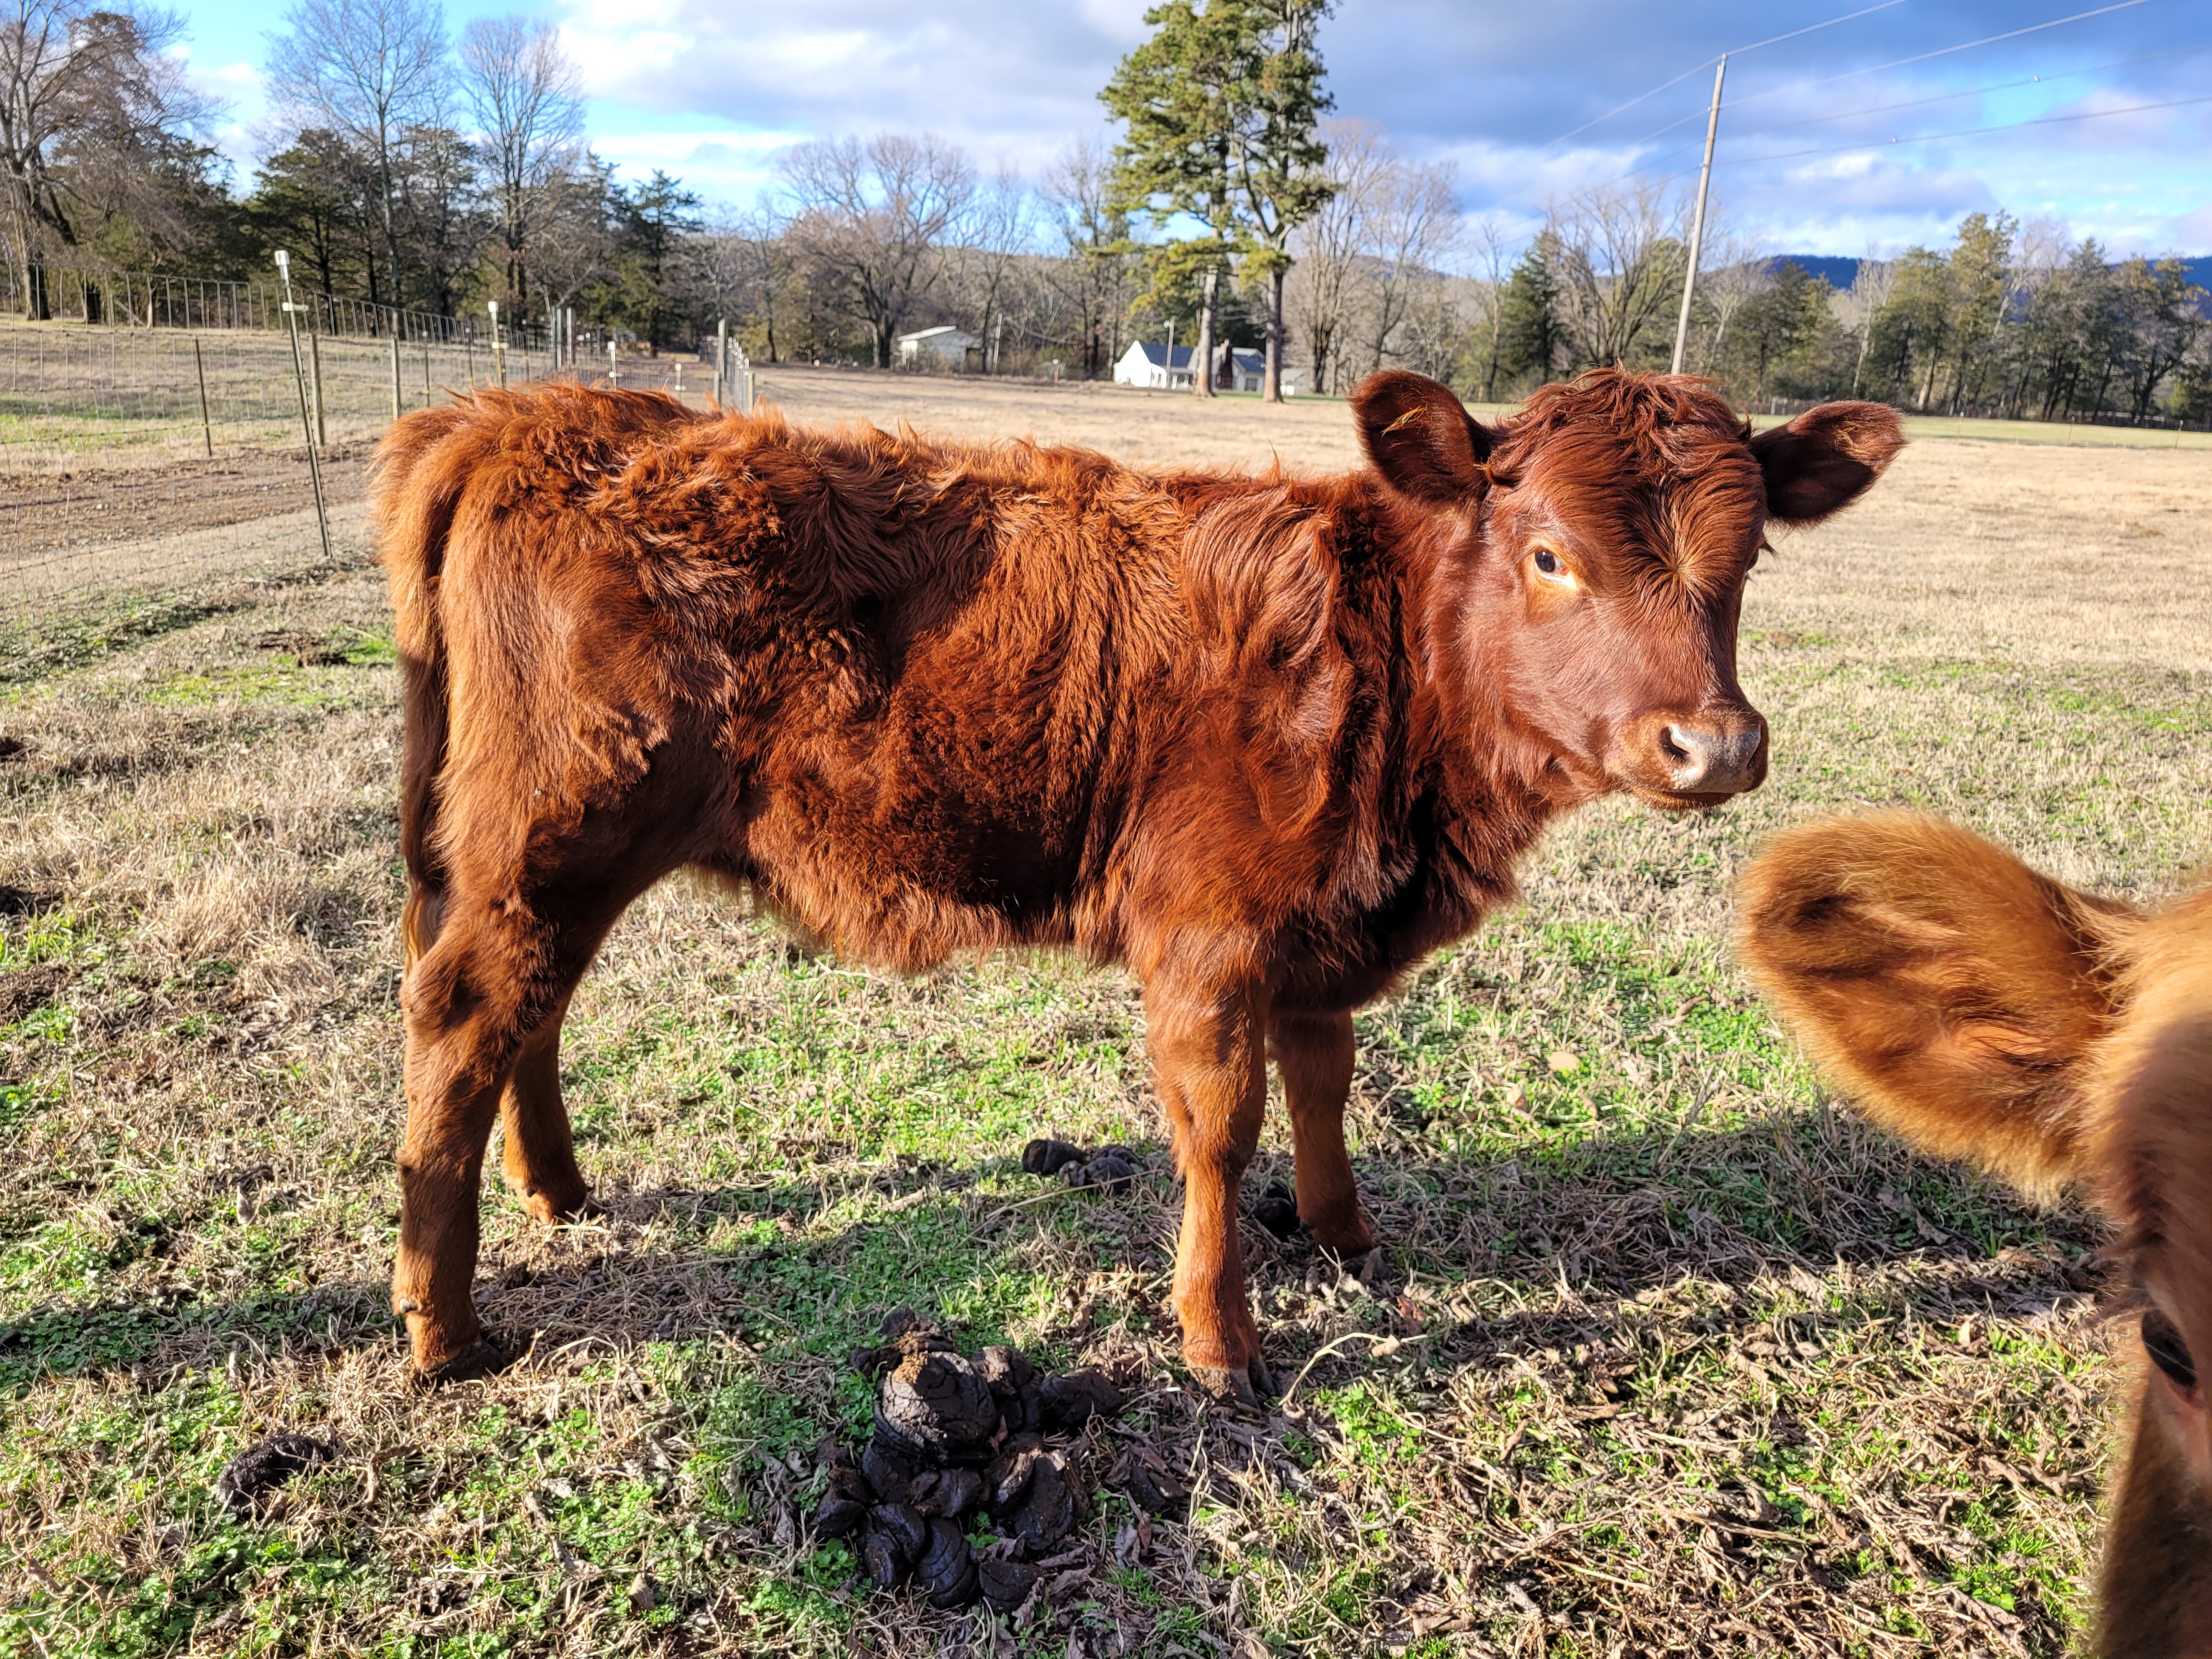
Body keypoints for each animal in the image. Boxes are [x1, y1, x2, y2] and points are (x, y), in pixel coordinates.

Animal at [376, 369, 1902, 1398]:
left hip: (542, 861)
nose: (1716, 745)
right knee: (463, 1018)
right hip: (553, 842)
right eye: (1549, 556)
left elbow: (1325, 1081)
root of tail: (524, 414)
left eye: (1745, 562)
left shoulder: (1318, 934)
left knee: (525, 1016)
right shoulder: (1207, 941)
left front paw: (1347, 1237)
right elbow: (1221, 1132)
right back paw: (445, 1329)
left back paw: (559, 1195)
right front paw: (1222, 1341)